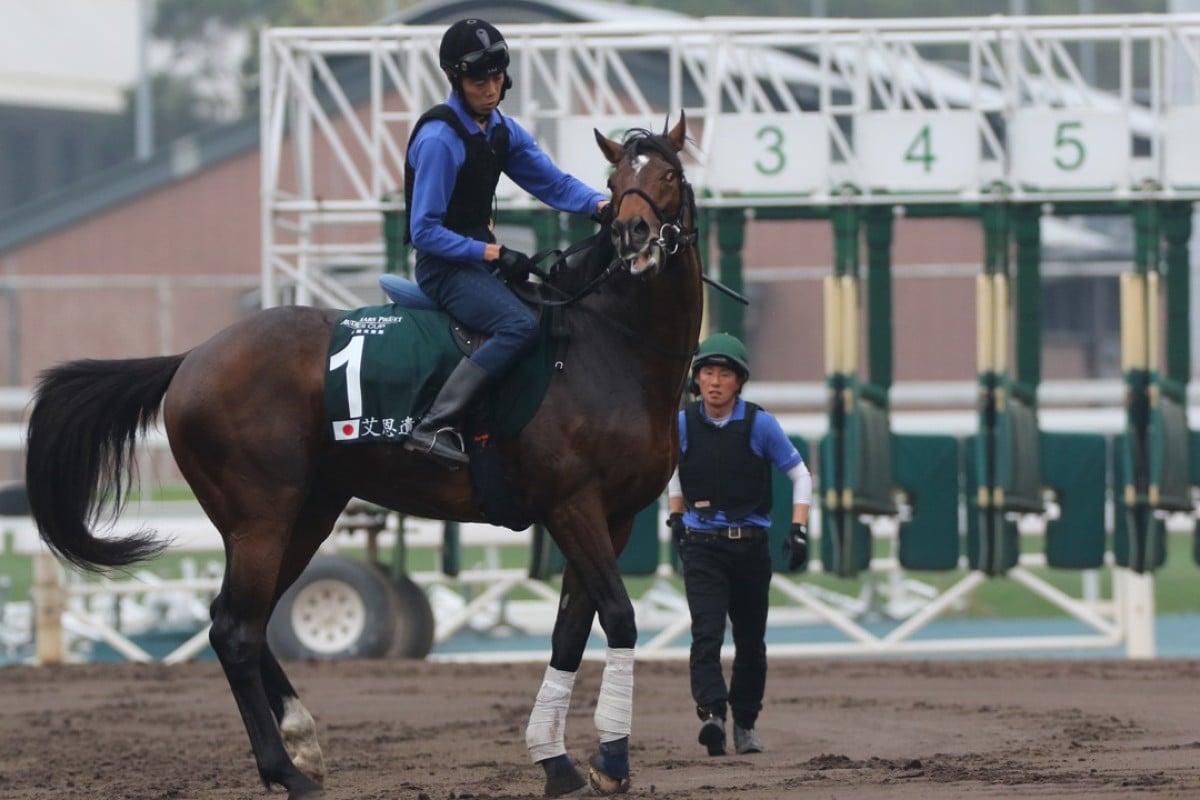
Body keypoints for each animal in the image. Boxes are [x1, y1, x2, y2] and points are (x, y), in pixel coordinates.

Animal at [21, 113, 700, 800]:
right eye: (615, 182)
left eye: (669, 175)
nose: (632, 233)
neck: (606, 347)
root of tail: (191, 359)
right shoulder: (571, 506)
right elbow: (619, 616)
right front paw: (602, 760)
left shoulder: (613, 517)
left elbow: (570, 631)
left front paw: (573, 761)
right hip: (260, 517)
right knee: (234, 629)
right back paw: (287, 771)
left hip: (308, 512)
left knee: (238, 618)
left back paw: (302, 739)